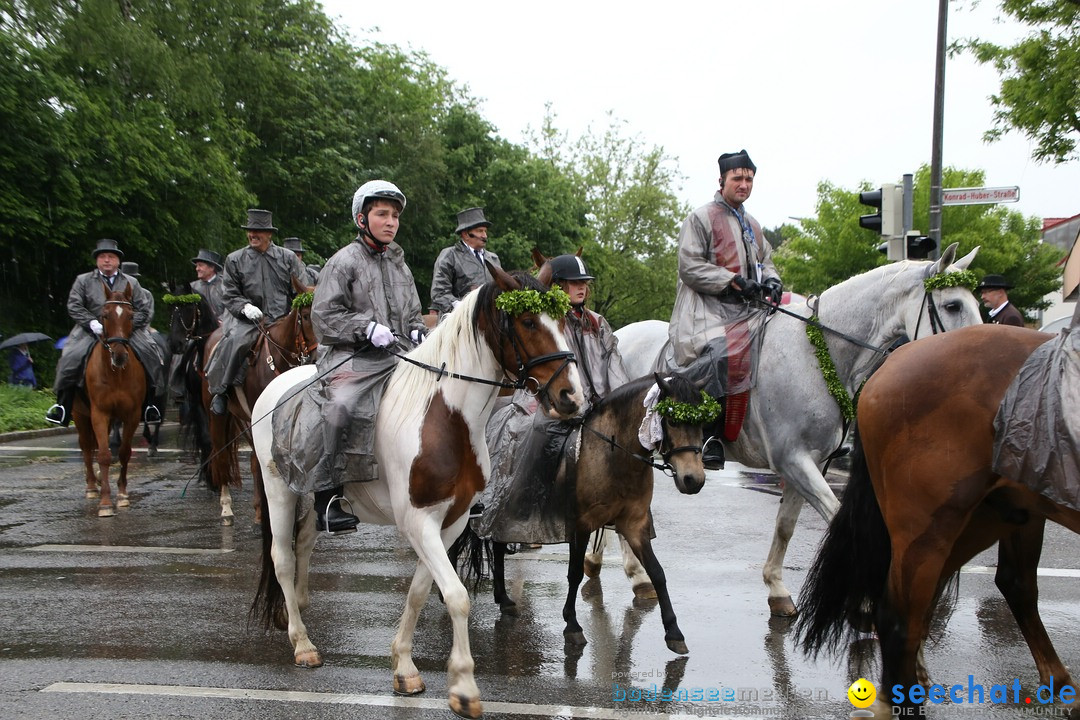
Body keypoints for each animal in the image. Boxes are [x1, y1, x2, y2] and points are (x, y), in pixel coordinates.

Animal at [72, 280, 145, 518]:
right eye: (104, 315)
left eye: (130, 316)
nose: (119, 355)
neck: (117, 374)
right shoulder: (99, 413)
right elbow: (103, 455)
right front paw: (105, 502)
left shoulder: (132, 414)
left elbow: (123, 452)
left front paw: (122, 495)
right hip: (80, 415)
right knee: (87, 447)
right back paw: (91, 486)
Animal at [460, 375, 712, 656]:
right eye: (672, 420)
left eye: (702, 422)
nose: (693, 480)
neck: (612, 453)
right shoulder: (581, 524)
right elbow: (574, 574)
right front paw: (572, 625)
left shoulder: (634, 525)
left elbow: (657, 573)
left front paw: (673, 632)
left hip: (506, 511)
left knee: (498, 544)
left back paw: (503, 598)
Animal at [587, 245, 984, 617]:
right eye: (952, 305)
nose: (979, 354)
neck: (818, 354)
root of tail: (617, 335)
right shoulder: (793, 460)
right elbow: (838, 518)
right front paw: (864, 599)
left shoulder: (809, 463)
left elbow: (786, 526)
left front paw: (777, 589)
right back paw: (634, 574)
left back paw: (603, 563)